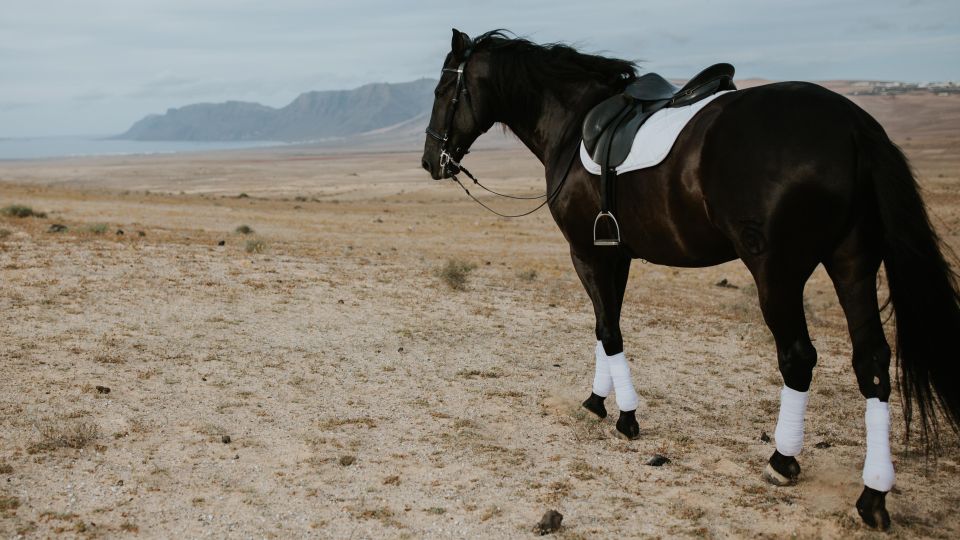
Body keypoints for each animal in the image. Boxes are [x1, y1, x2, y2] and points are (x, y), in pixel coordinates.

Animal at [422, 28, 960, 528]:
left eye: (443, 90)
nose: (430, 161)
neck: (574, 123)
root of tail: (852, 125)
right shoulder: (615, 254)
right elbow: (605, 328)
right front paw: (598, 401)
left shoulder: (586, 253)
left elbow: (608, 331)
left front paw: (625, 416)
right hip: (853, 263)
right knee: (872, 363)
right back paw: (873, 494)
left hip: (777, 274)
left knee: (798, 358)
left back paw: (783, 460)